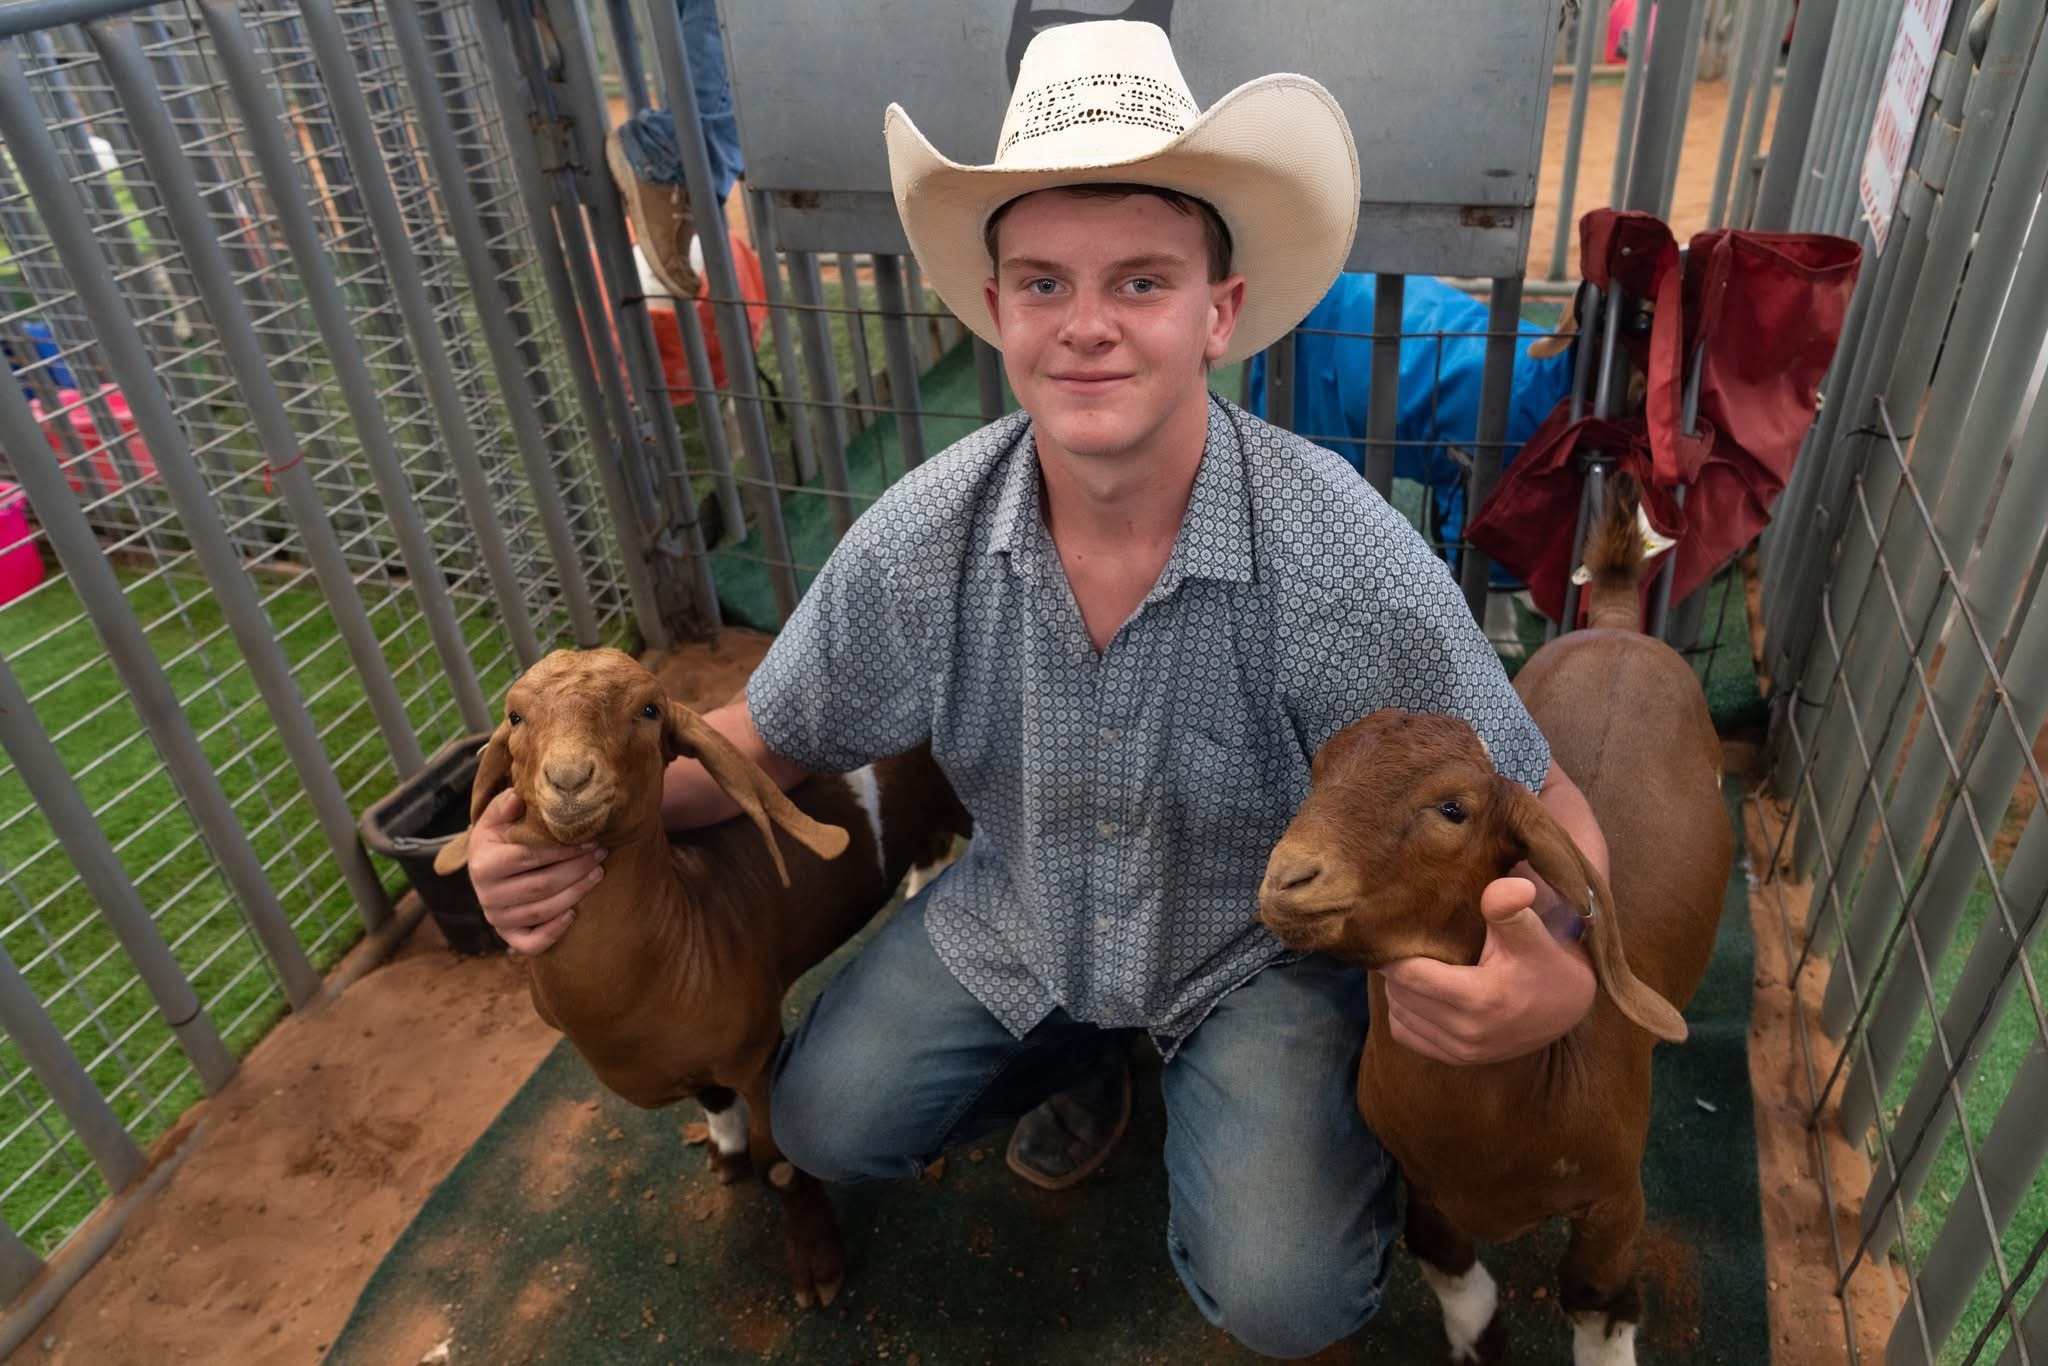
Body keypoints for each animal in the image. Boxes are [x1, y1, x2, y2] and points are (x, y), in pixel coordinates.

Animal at [433, 647, 970, 1308]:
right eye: (514, 717)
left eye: (649, 710)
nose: (569, 781)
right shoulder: (696, 1058)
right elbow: (714, 1100)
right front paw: (726, 1151)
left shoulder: (758, 1050)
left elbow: (782, 1166)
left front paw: (817, 1265)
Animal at [1256, 475, 1730, 1365]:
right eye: (1319, 769)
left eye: (1453, 808)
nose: (1289, 878)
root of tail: (1620, 621)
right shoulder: (1423, 1184)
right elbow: (1454, 1274)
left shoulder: (1617, 1200)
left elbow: (1596, 1299)